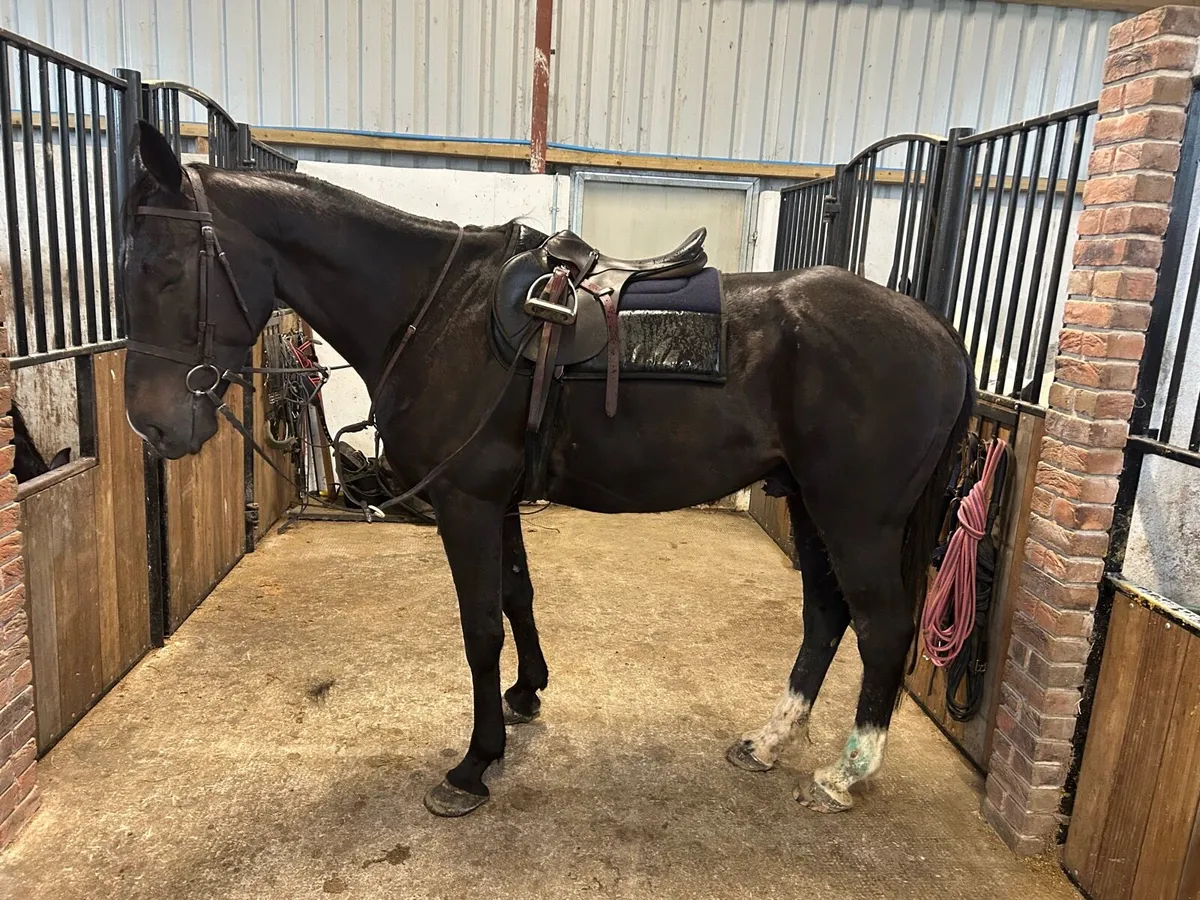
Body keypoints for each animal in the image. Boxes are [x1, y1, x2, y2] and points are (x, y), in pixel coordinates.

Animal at [122, 120, 974, 818]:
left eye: (165, 268)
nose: (151, 424)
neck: (437, 313)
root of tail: (937, 330)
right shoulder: (494, 500)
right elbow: (516, 597)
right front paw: (526, 694)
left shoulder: (464, 502)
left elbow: (478, 627)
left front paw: (473, 765)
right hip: (807, 502)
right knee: (826, 615)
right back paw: (769, 742)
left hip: (856, 517)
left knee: (882, 626)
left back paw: (844, 774)